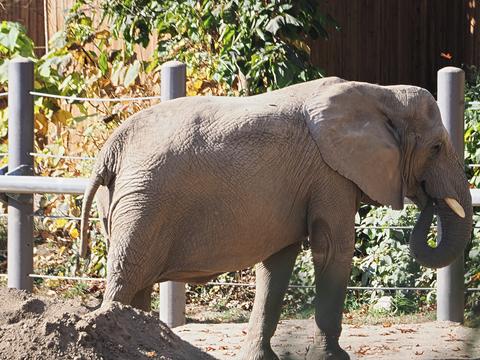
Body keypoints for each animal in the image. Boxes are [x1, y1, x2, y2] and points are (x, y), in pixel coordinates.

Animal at [79, 79, 472, 360]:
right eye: (436, 148)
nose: (426, 199)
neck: (380, 93)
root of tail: (110, 147)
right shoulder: (329, 173)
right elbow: (332, 249)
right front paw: (333, 358)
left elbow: (279, 261)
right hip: (143, 204)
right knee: (127, 276)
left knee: (136, 282)